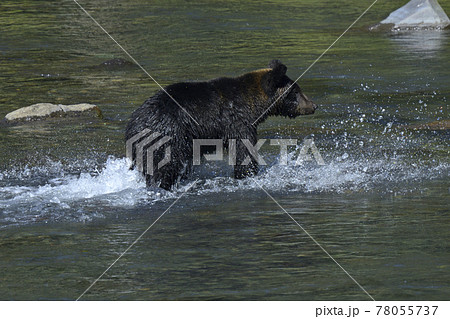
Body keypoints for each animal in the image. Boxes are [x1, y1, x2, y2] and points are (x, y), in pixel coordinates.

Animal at [125, 59, 318, 190]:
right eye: (296, 91)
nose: (313, 105)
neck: (254, 106)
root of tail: (132, 124)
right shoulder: (237, 123)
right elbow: (244, 151)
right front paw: (247, 173)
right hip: (167, 136)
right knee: (165, 165)